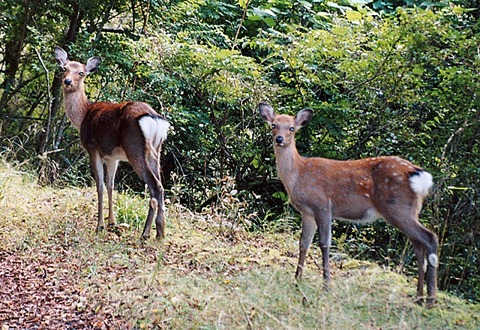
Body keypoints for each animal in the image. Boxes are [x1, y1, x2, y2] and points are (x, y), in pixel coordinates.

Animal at [54, 46, 170, 240]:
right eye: (64, 68)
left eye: (81, 72)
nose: (67, 81)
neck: (84, 115)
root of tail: (154, 118)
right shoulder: (112, 157)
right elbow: (110, 185)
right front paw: (112, 222)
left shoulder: (93, 149)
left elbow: (100, 186)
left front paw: (99, 225)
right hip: (156, 151)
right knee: (160, 185)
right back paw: (160, 232)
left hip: (135, 148)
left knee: (156, 187)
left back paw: (146, 233)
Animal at [258, 102, 438, 306]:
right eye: (274, 125)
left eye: (291, 128)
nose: (279, 139)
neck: (298, 174)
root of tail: (420, 176)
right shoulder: (307, 212)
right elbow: (303, 243)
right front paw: (297, 280)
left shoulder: (323, 205)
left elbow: (324, 244)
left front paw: (326, 285)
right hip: (409, 210)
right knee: (418, 245)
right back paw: (419, 297)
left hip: (397, 208)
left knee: (430, 238)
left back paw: (430, 300)